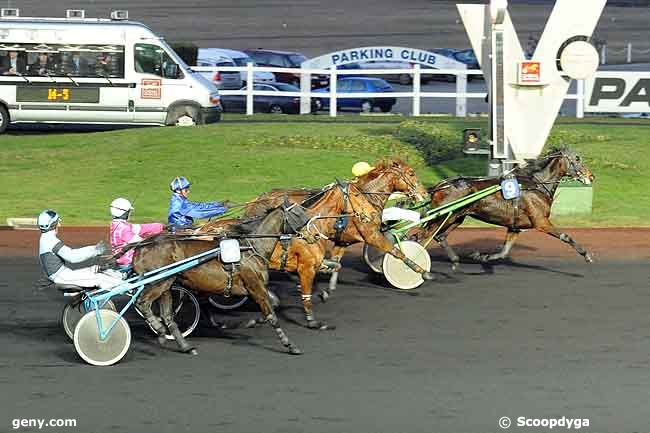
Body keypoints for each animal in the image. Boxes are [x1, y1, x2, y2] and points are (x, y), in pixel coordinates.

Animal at [134, 205, 304, 354]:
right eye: (297, 212)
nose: (308, 235)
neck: (251, 248)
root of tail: (141, 247)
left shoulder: (255, 288)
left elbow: (272, 305)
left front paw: (251, 322)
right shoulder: (255, 287)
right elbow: (272, 316)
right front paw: (290, 345)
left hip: (167, 284)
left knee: (168, 315)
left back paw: (184, 346)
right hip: (159, 281)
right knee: (142, 302)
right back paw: (160, 329)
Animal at [201, 159, 426, 328]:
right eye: (412, 173)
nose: (424, 194)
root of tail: (257, 199)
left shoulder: (341, 241)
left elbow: (336, 264)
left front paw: (326, 290)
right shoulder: (369, 234)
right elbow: (395, 250)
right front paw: (421, 271)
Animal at [410, 146, 592, 266]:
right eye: (577, 158)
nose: (591, 176)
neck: (536, 184)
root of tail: (441, 185)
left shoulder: (515, 227)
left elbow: (504, 252)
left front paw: (482, 257)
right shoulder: (541, 222)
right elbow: (566, 237)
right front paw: (586, 255)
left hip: (456, 218)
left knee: (439, 236)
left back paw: (453, 260)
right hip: (443, 217)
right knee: (418, 237)